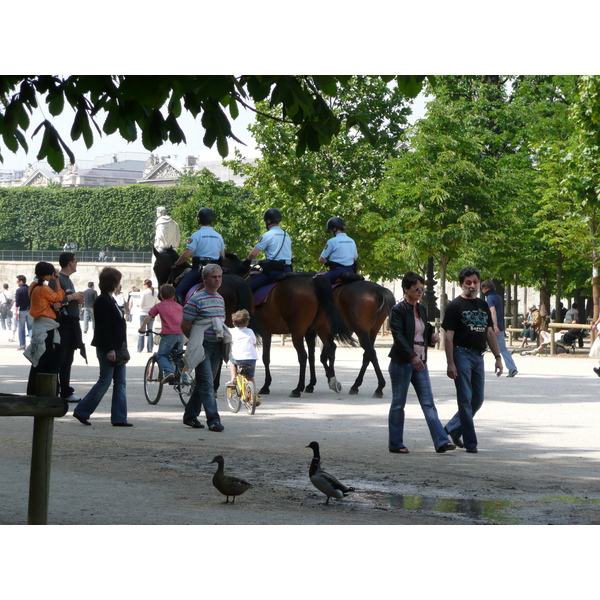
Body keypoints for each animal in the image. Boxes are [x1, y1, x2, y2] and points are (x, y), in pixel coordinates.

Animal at [224, 253, 356, 398]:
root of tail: (312, 283)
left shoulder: (265, 333)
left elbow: (265, 358)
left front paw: (265, 385)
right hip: (321, 327)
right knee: (330, 348)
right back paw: (332, 380)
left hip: (297, 332)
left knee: (303, 356)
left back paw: (298, 388)